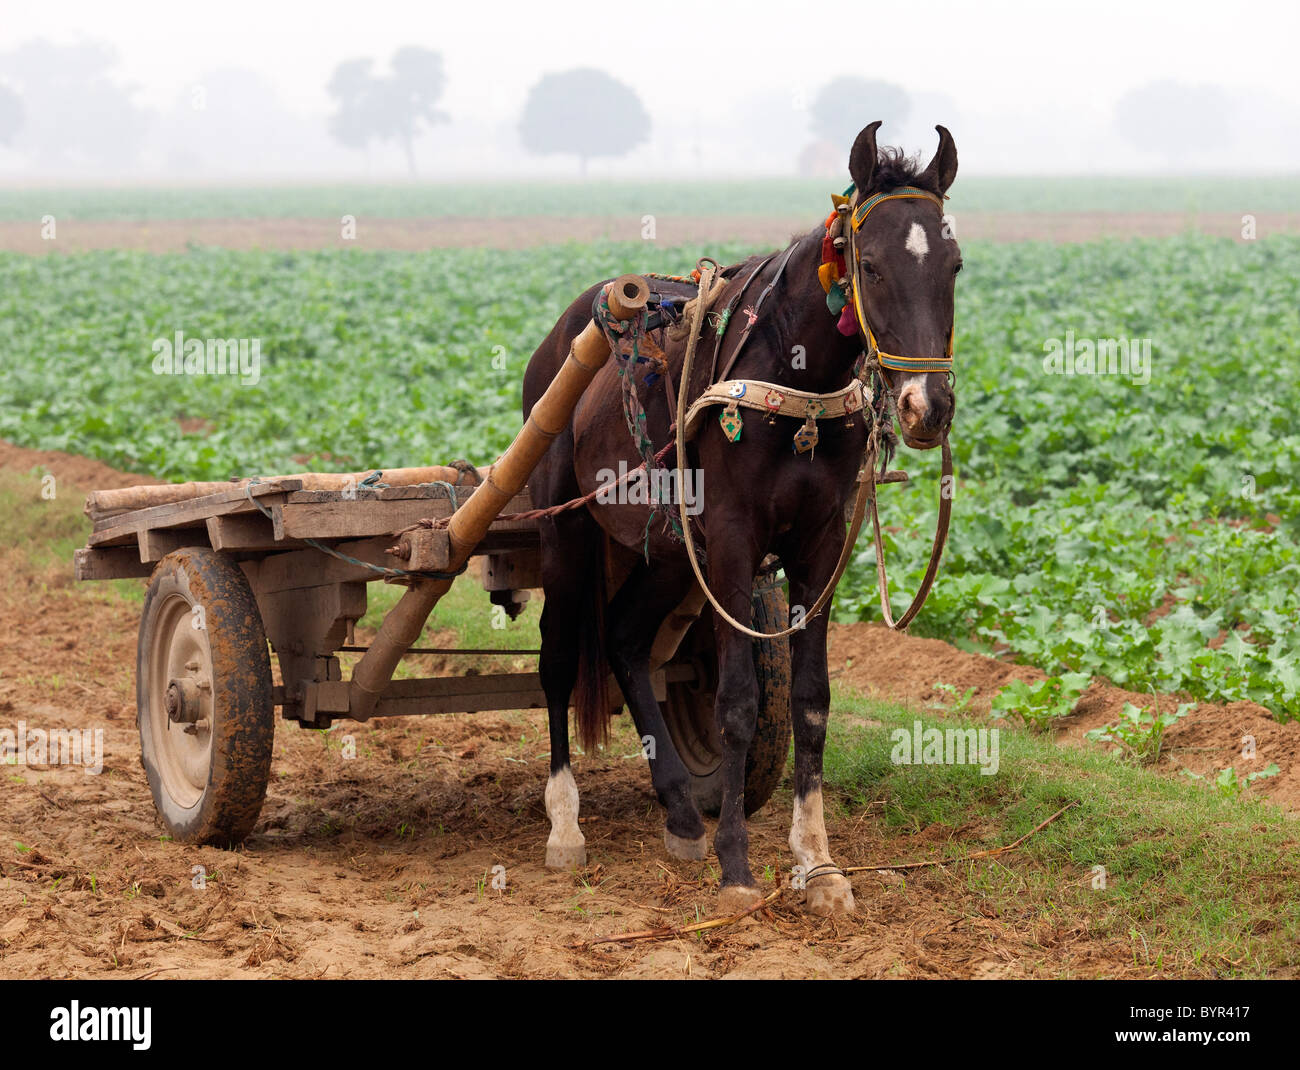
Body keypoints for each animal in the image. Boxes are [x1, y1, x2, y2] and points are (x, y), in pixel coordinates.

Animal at [522, 121, 961, 915]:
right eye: (870, 266)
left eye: (954, 265)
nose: (926, 408)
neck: (794, 380)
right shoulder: (729, 542)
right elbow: (735, 703)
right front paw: (737, 867)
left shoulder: (819, 548)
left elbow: (811, 701)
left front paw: (818, 863)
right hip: (565, 532)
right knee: (559, 659)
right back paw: (565, 824)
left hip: (667, 554)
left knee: (627, 641)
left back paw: (678, 810)